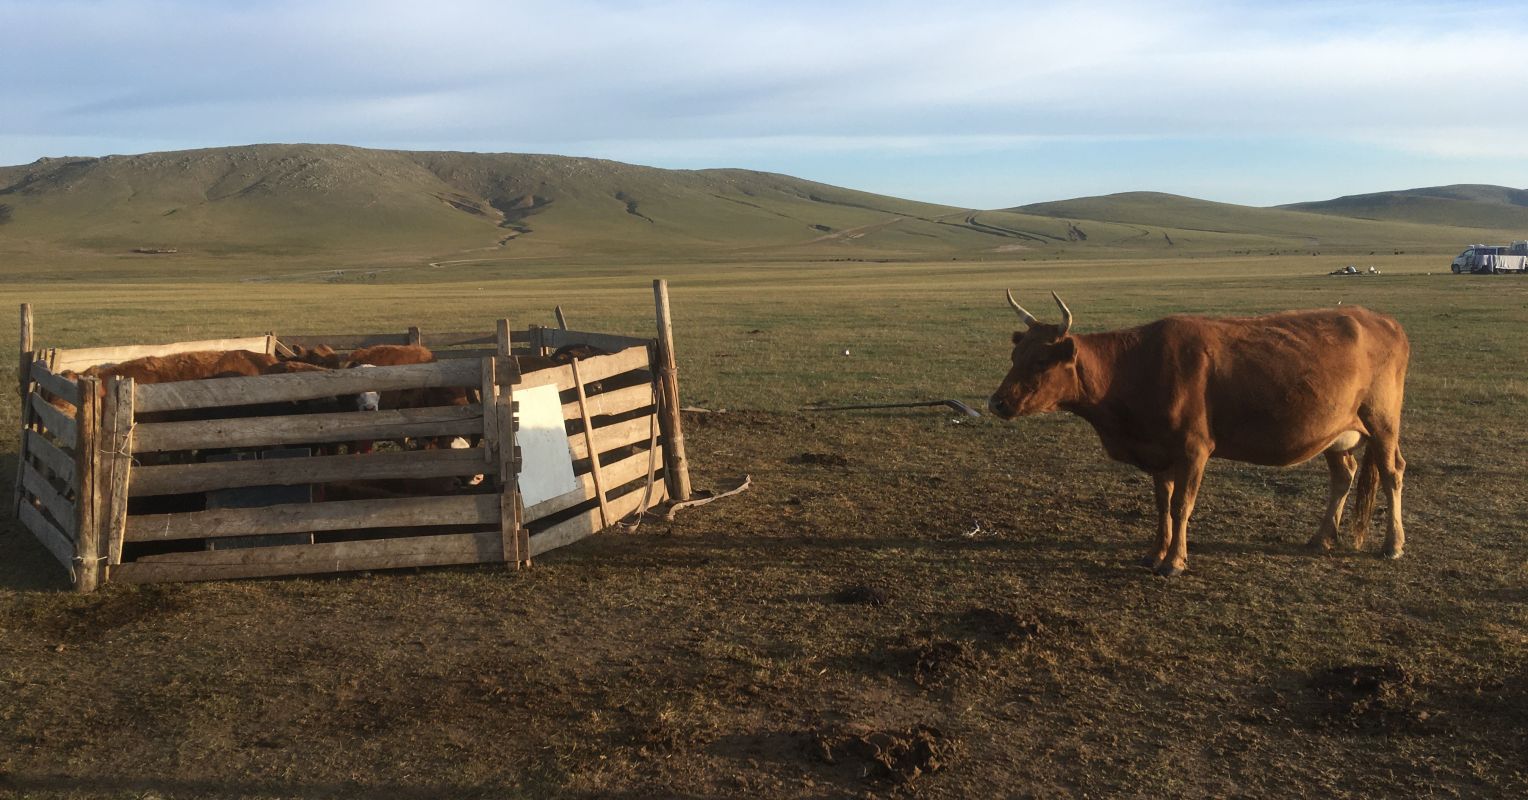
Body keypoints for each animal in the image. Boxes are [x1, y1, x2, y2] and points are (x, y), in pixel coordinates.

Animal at [987, 291, 1409, 577]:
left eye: (1041, 360)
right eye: (1015, 356)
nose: (997, 402)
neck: (1133, 367)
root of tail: (1383, 320)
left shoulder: (1193, 450)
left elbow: (1181, 506)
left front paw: (1174, 560)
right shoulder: (1158, 452)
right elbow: (1162, 505)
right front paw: (1155, 552)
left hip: (1382, 421)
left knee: (1392, 473)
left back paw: (1393, 544)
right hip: (1335, 431)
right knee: (1343, 475)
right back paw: (1322, 537)